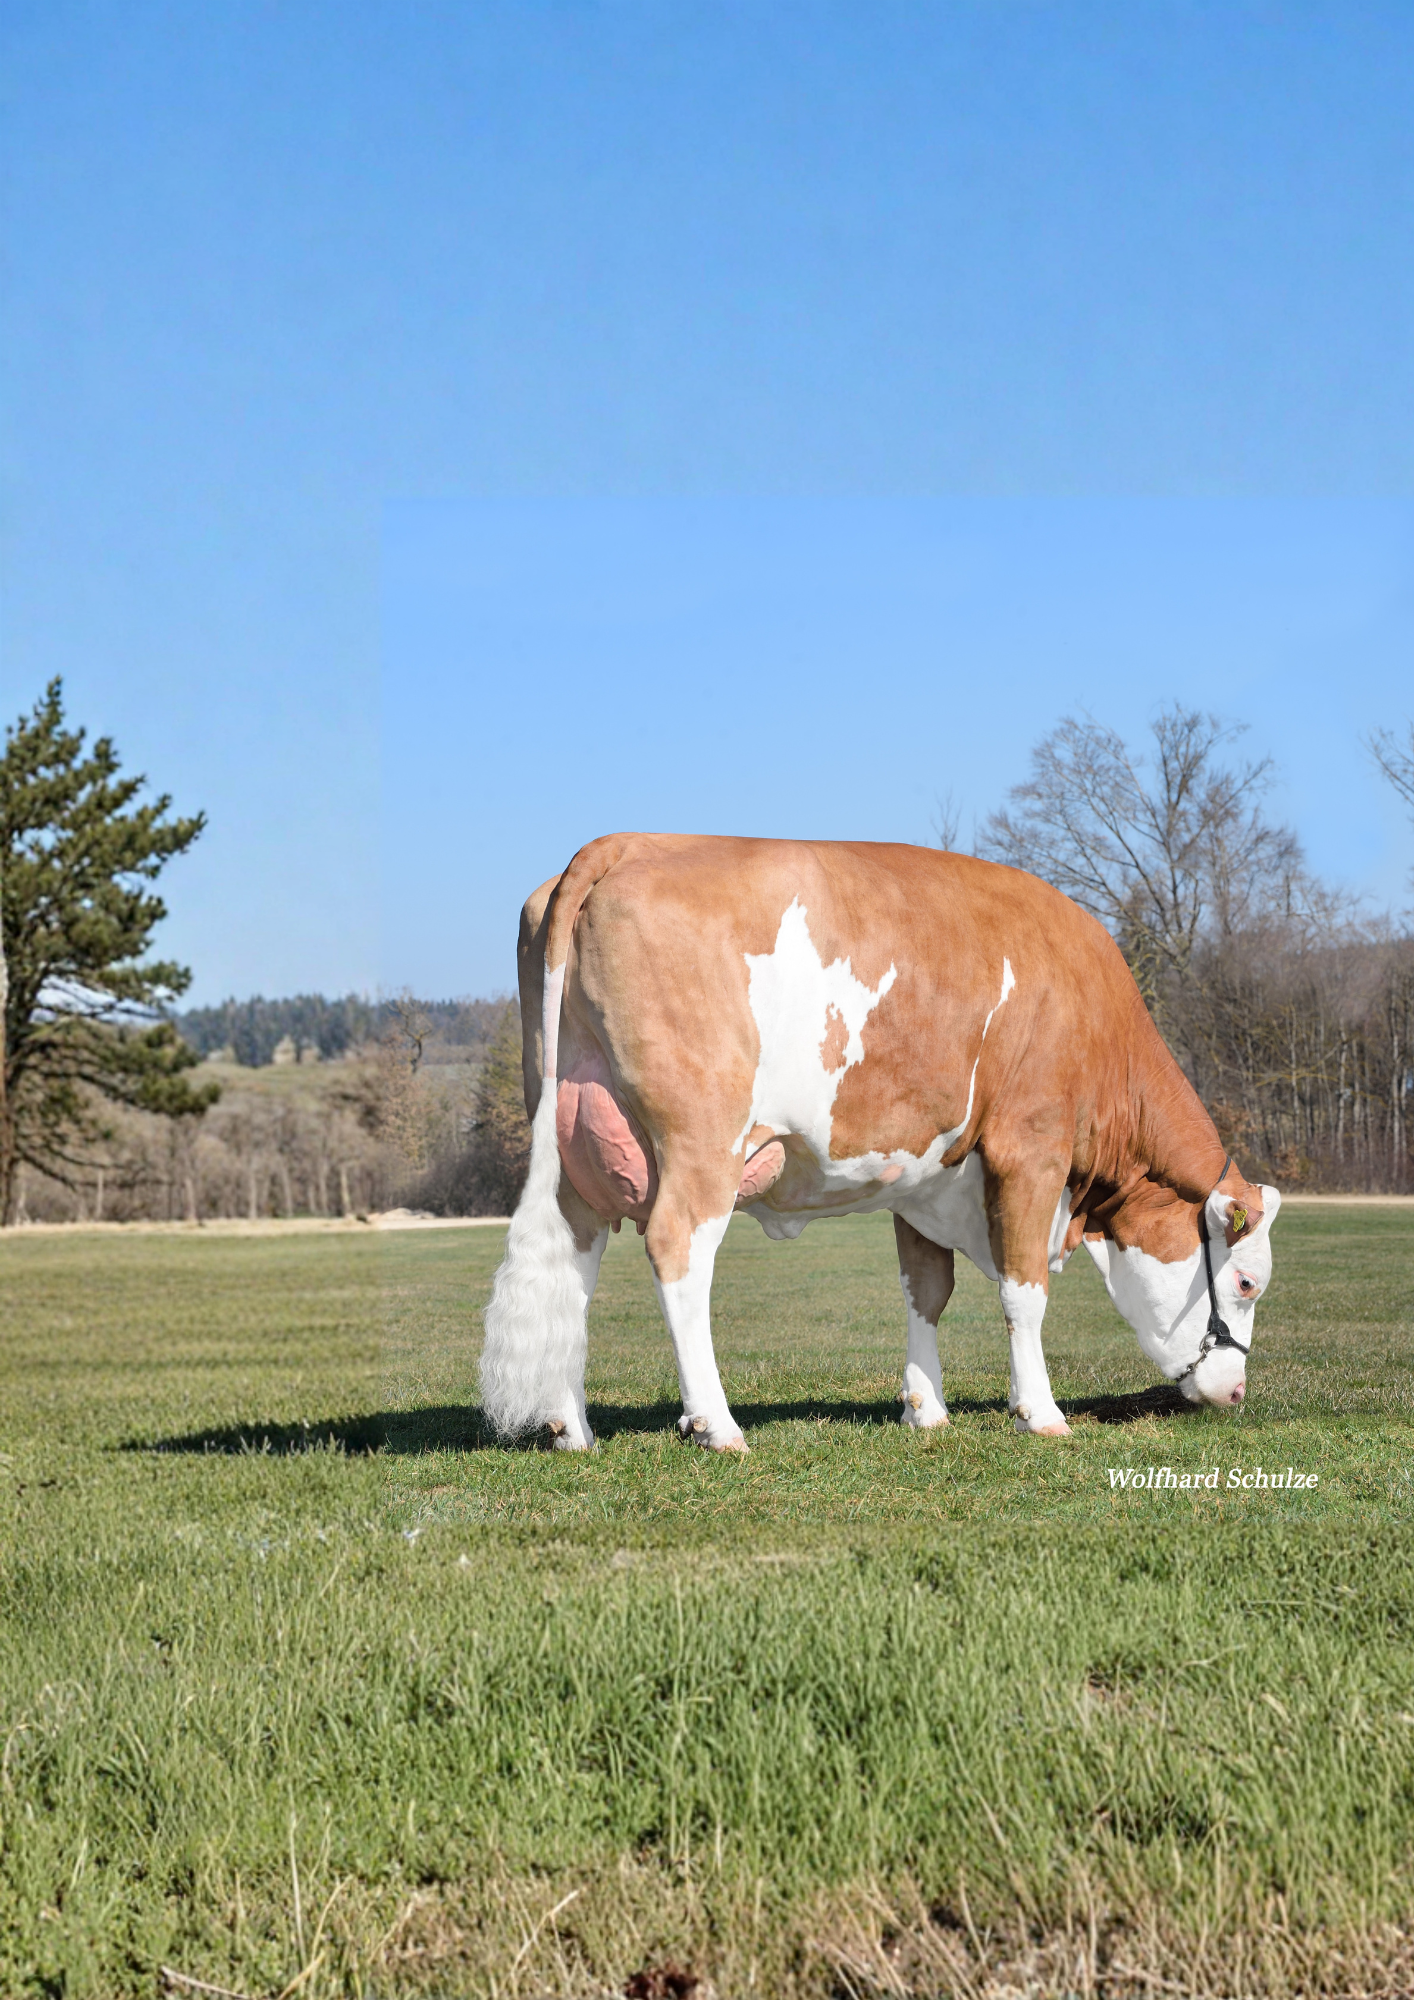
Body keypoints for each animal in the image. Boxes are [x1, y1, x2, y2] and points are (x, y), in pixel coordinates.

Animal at [480, 834, 1280, 1452]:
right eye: (1246, 1283)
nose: (1236, 1393)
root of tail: (625, 841)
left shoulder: (927, 1177)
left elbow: (926, 1291)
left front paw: (927, 1410)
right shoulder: (1031, 1152)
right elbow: (1024, 1292)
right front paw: (1041, 1413)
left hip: (575, 1140)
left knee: (575, 1258)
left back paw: (570, 1426)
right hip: (703, 1140)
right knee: (678, 1251)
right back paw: (715, 1423)